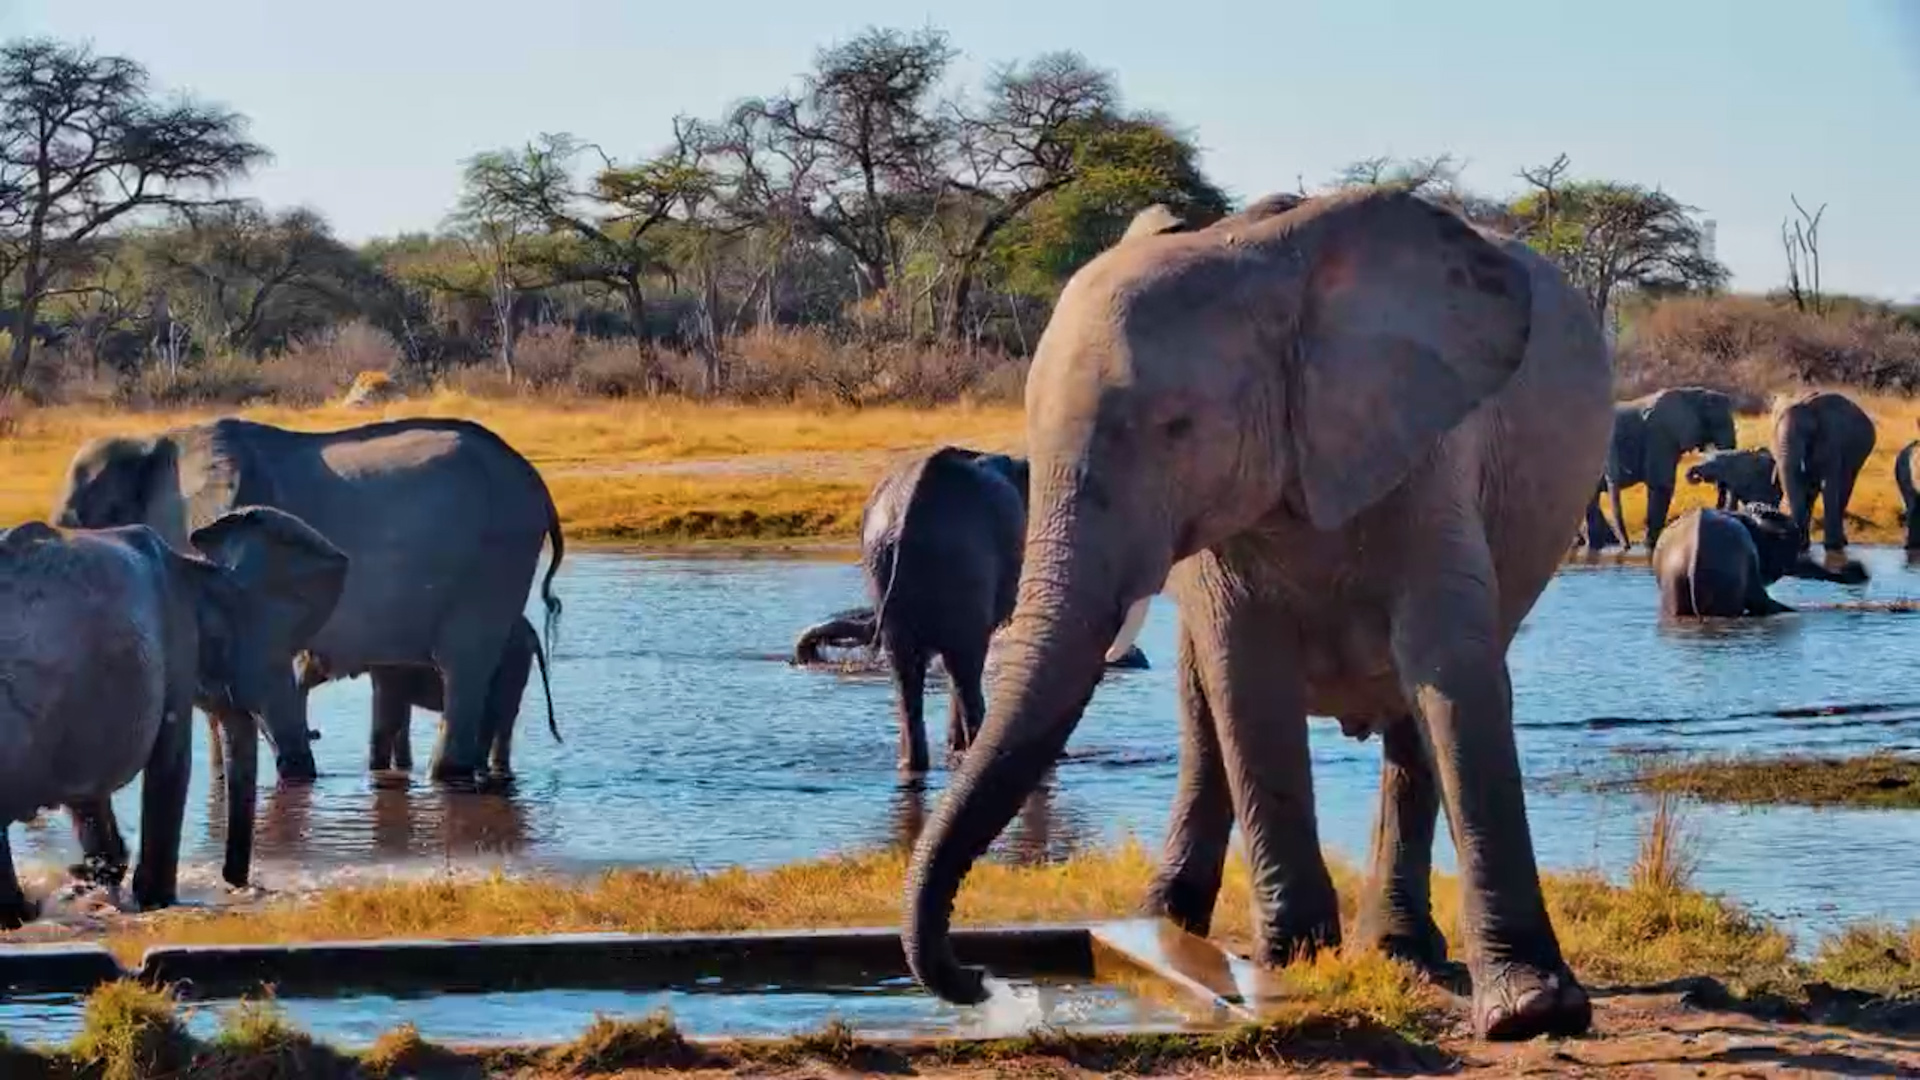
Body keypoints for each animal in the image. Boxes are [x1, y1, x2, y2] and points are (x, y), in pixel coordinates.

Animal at [1, 507, 348, 924]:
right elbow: (171, 763)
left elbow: (91, 794)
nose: (236, 885)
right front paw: (155, 902)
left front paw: (98, 882)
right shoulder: (177, 644)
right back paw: (21, 913)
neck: (199, 568)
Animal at [293, 613, 558, 778]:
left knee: (496, 714)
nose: (316, 733)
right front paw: (402, 768)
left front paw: (376, 771)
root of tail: (533, 634)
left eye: (305, 653)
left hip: (512, 662)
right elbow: (401, 717)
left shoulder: (390, 665)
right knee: (501, 720)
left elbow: (389, 713)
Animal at [900, 187, 1614, 1042]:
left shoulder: (1428, 453)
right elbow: (1245, 679)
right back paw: (1164, 925)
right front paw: (1294, 959)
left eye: (1177, 427)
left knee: (1410, 726)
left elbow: (1452, 674)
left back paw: (1398, 951)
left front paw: (1531, 1013)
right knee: (1202, 706)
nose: (976, 976)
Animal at [1590, 387, 1738, 550]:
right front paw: (1650, 546)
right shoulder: (1661, 434)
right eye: (1719, 424)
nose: (1718, 508)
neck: (1692, 394)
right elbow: (1661, 485)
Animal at [1772, 390, 1877, 551]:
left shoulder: (1830, 440)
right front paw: (1803, 546)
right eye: (1774, 428)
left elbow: (1828, 483)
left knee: (1845, 486)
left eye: (1807, 433)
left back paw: (1839, 543)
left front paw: (1831, 546)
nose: (1797, 542)